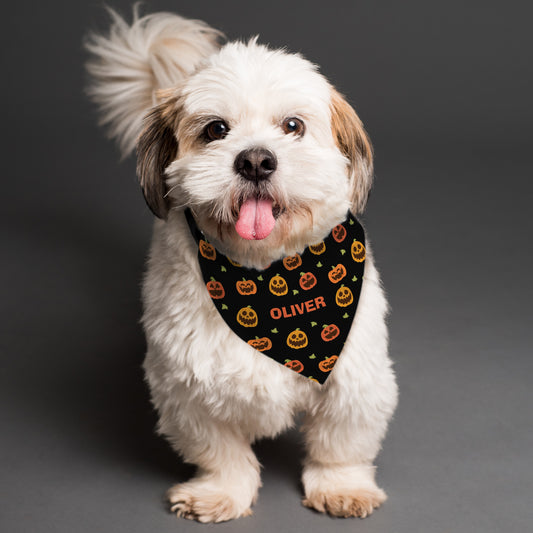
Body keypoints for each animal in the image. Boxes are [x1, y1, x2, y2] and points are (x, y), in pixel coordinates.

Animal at [85, 7, 396, 524]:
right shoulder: (185, 387)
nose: (255, 160)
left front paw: (342, 486)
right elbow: (220, 451)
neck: (265, 272)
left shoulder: (354, 377)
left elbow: (340, 443)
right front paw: (220, 492)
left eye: (292, 125)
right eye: (216, 130)